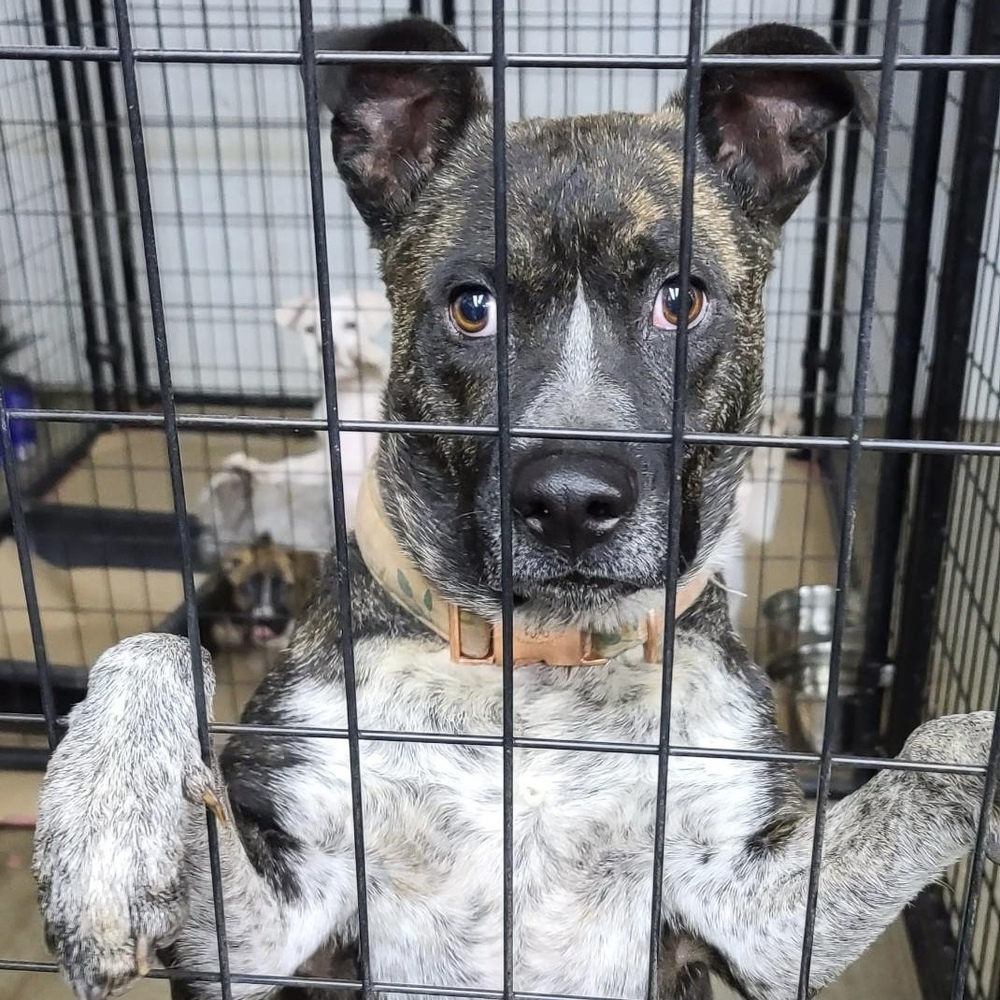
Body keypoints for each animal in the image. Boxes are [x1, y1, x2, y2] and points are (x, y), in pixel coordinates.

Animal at [29, 15, 1000, 1000]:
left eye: (680, 299)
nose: (571, 502)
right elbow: (155, 647)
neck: (537, 666)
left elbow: (940, 745)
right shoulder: (267, 941)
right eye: (472, 306)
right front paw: (106, 824)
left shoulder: (759, 917)